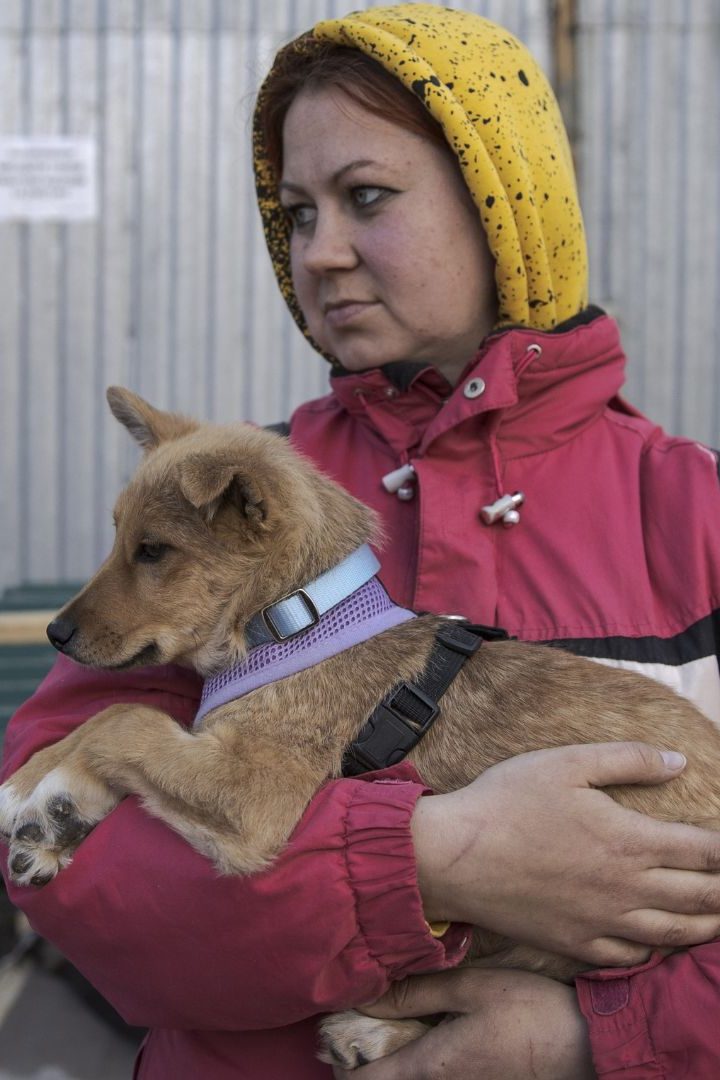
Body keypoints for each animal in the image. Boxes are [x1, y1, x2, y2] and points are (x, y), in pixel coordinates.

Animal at [1, 384, 720, 1067]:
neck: (296, 620)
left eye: (153, 551)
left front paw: (39, 793)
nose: (54, 633)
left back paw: (377, 1029)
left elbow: (126, 717)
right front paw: (46, 800)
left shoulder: (259, 796)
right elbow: (108, 720)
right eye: (118, 538)